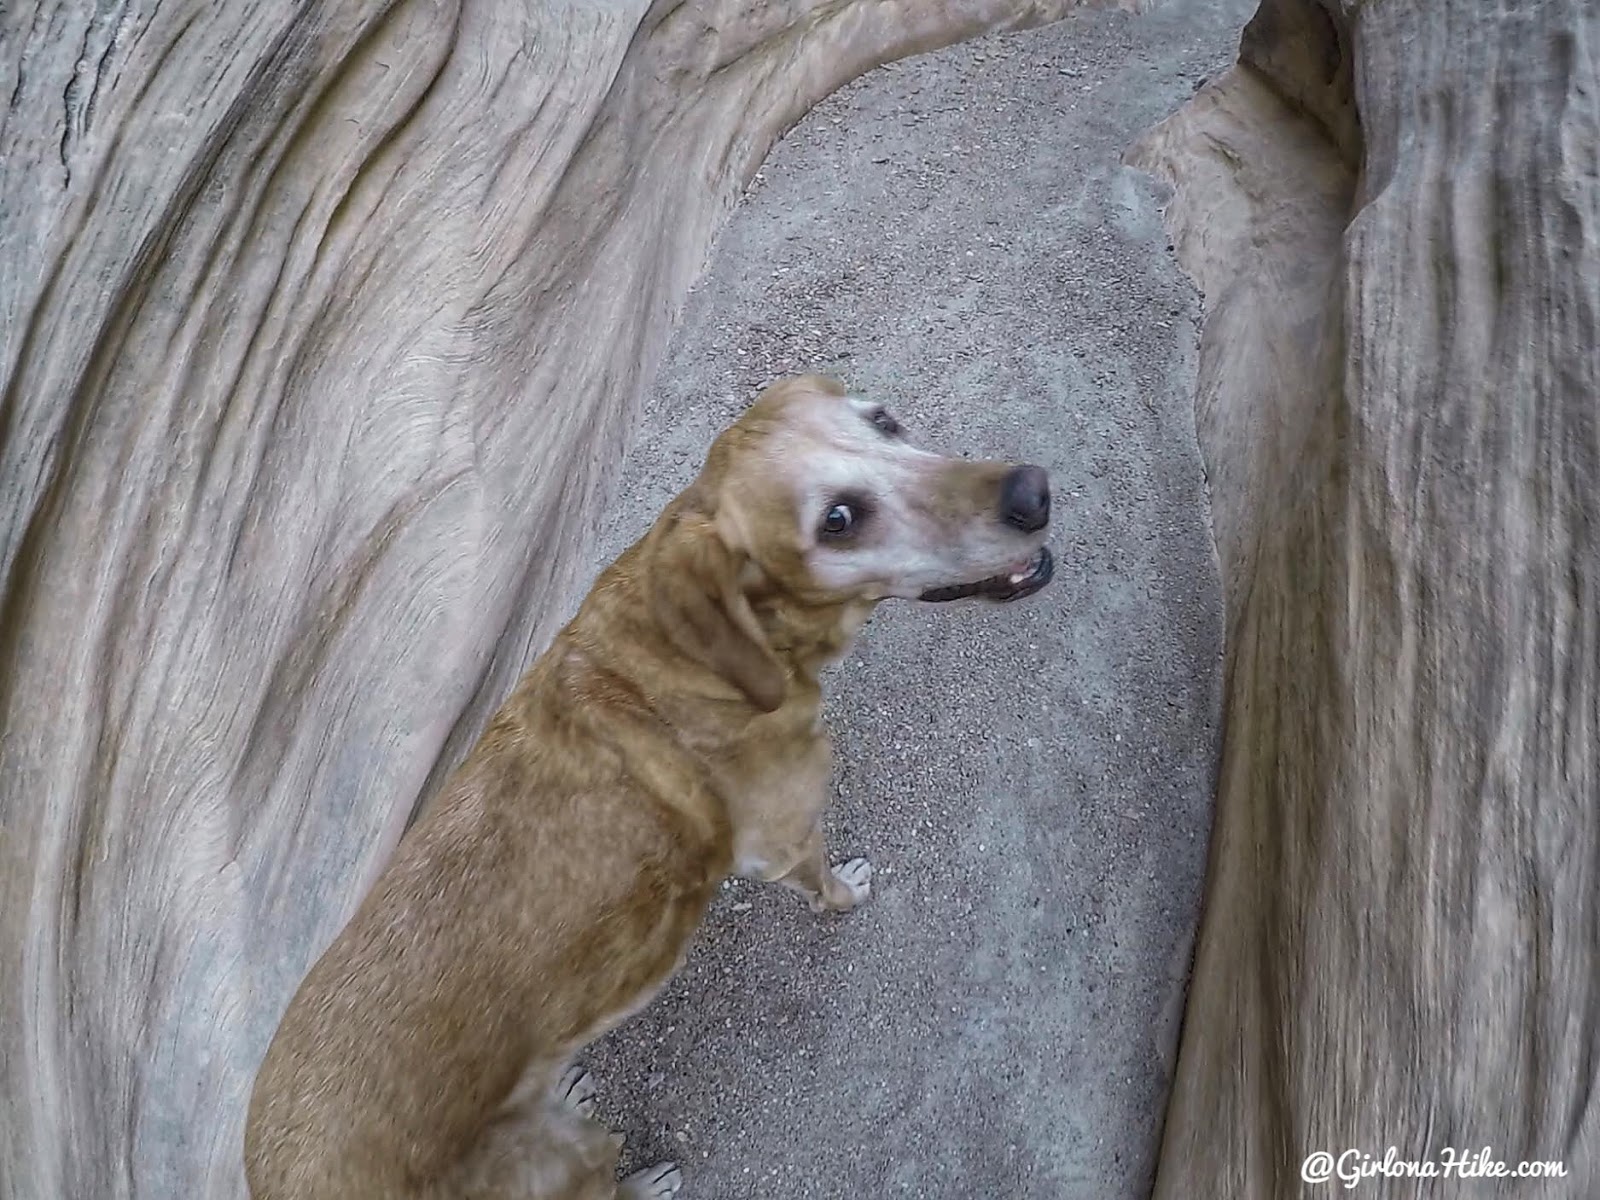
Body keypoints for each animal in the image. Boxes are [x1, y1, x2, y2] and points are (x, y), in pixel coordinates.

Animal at [243, 371, 1049, 1196]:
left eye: (884, 421)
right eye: (839, 520)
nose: (1033, 491)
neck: (691, 659)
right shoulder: (786, 843)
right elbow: (825, 884)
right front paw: (846, 895)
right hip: (566, 1155)